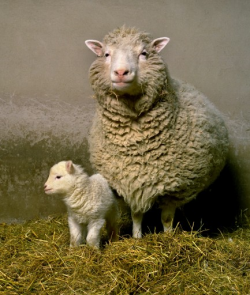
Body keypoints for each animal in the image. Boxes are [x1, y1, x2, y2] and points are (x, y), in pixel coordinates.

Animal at [85, 26, 229, 239]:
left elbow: (167, 219)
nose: (121, 72)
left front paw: (169, 238)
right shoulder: (132, 182)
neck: (136, 142)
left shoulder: (174, 189)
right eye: (106, 54)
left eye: (144, 53)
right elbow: (136, 215)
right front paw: (137, 238)